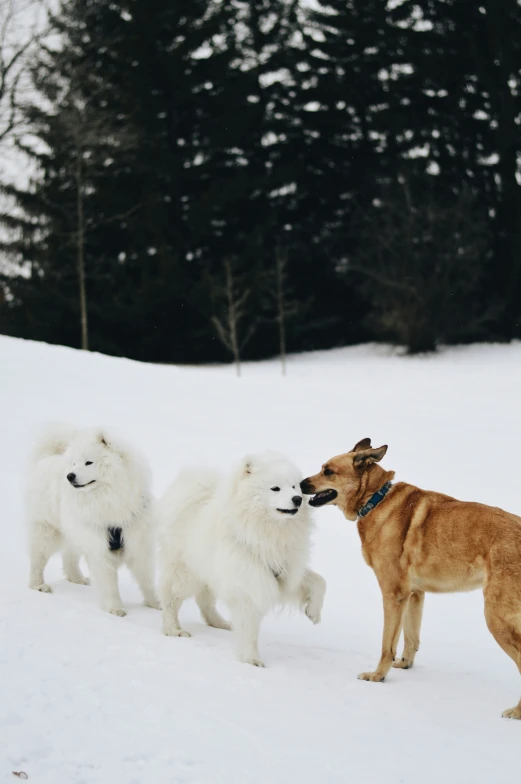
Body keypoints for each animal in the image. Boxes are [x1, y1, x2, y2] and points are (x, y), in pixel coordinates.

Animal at [25, 426, 158, 616]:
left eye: (88, 462)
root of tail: (46, 458)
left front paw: (156, 604)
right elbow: (109, 584)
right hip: (47, 531)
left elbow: (146, 580)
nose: (70, 476)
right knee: (38, 560)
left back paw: (76, 578)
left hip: (74, 532)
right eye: (74, 463)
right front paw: (115, 608)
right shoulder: (99, 547)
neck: (110, 499)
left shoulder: (137, 543)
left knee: (69, 557)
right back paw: (39, 585)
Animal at [158, 450, 324, 664]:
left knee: (205, 602)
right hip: (185, 572)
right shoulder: (250, 580)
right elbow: (249, 626)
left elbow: (319, 581)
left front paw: (313, 612)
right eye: (275, 488)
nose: (298, 499)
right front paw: (251, 659)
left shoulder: (286, 570)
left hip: (209, 574)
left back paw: (220, 623)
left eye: (294, 486)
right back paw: (174, 629)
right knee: (170, 597)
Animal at [298, 438, 520, 720]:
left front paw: (378, 676)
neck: (375, 499)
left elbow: (387, 644)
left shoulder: (393, 594)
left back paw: (516, 711)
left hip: (497, 617)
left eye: (328, 471)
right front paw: (404, 664)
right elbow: (411, 638)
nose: (300, 484)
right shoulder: (415, 594)